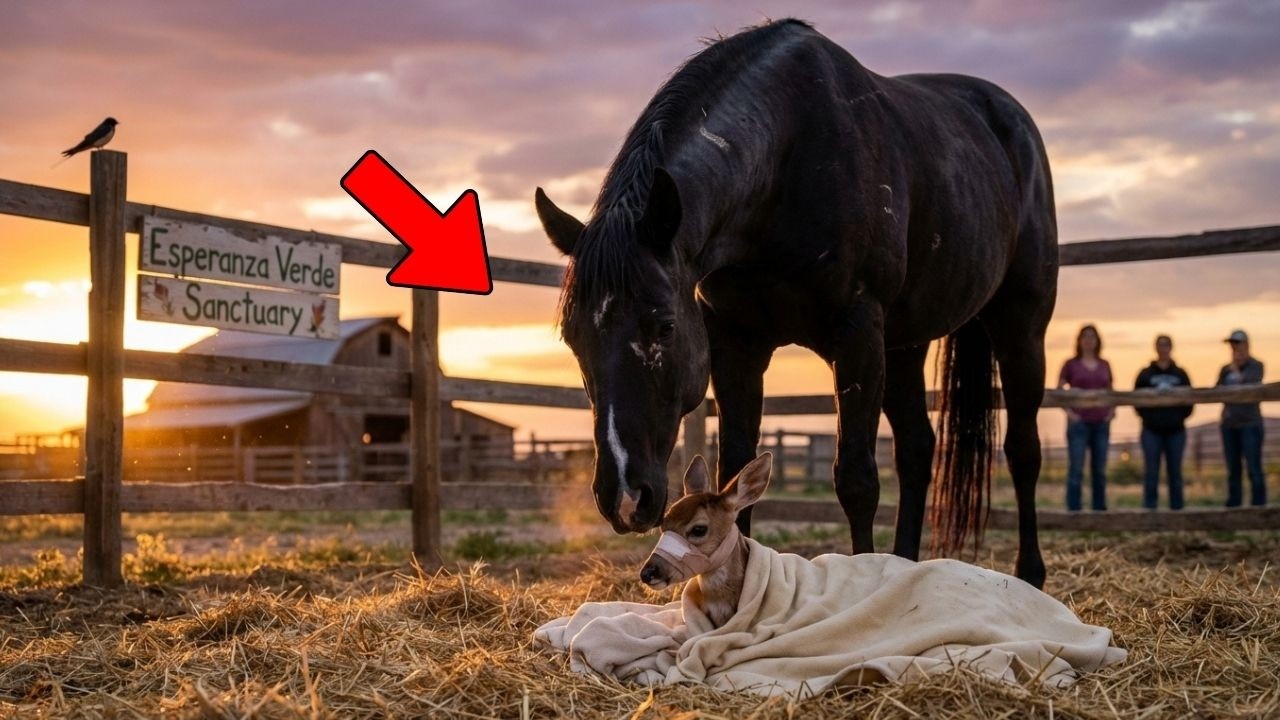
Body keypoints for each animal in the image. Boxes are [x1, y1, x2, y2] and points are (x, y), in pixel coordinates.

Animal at [534, 19, 1057, 588]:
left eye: (665, 327)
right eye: (573, 339)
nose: (625, 498)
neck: (786, 165)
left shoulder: (856, 337)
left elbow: (856, 480)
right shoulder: (736, 344)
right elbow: (735, 479)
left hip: (1019, 326)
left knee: (1023, 451)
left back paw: (1030, 575)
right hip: (903, 345)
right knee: (917, 450)